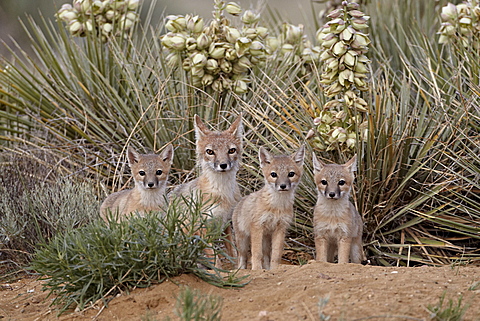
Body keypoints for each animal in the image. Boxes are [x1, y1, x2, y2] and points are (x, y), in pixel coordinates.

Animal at [171, 113, 242, 258]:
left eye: (231, 150)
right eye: (210, 152)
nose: (223, 165)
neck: (222, 193)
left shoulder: (226, 223)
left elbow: (233, 254)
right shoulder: (202, 230)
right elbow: (216, 260)